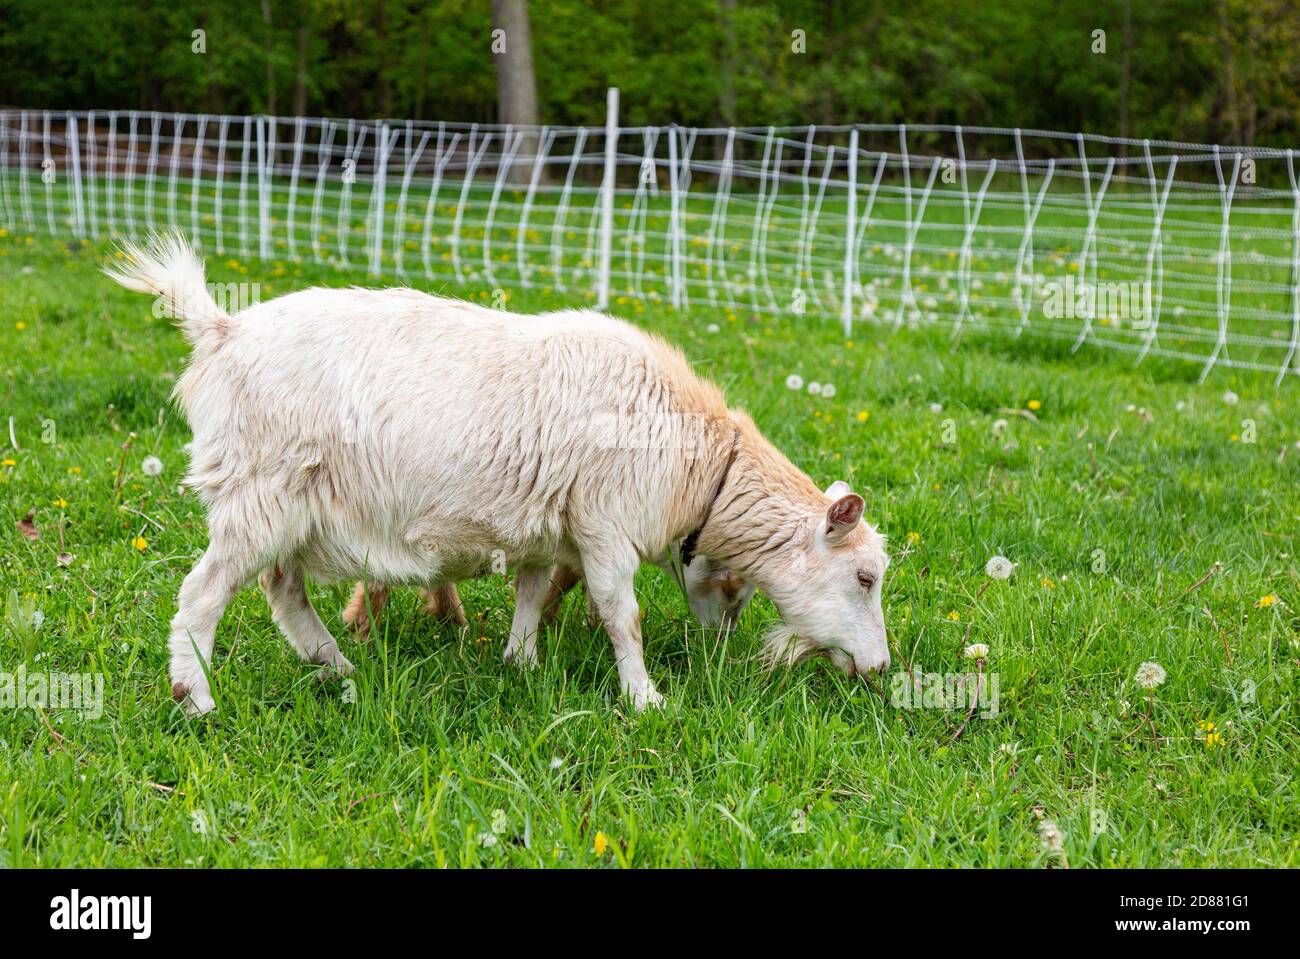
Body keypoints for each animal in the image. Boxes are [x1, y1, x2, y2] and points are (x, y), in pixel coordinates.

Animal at [106, 233, 889, 712]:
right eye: (864, 577)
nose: (879, 669)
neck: (700, 459)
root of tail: (222, 329)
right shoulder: (604, 523)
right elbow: (622, 614)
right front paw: (643, 697)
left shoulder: (548, 523)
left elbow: (533, 592)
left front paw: (522, 663)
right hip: (257, 493)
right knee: (203, 594)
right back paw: (197, 698)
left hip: (288, 505)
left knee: (282, 588)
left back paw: (336, 665)